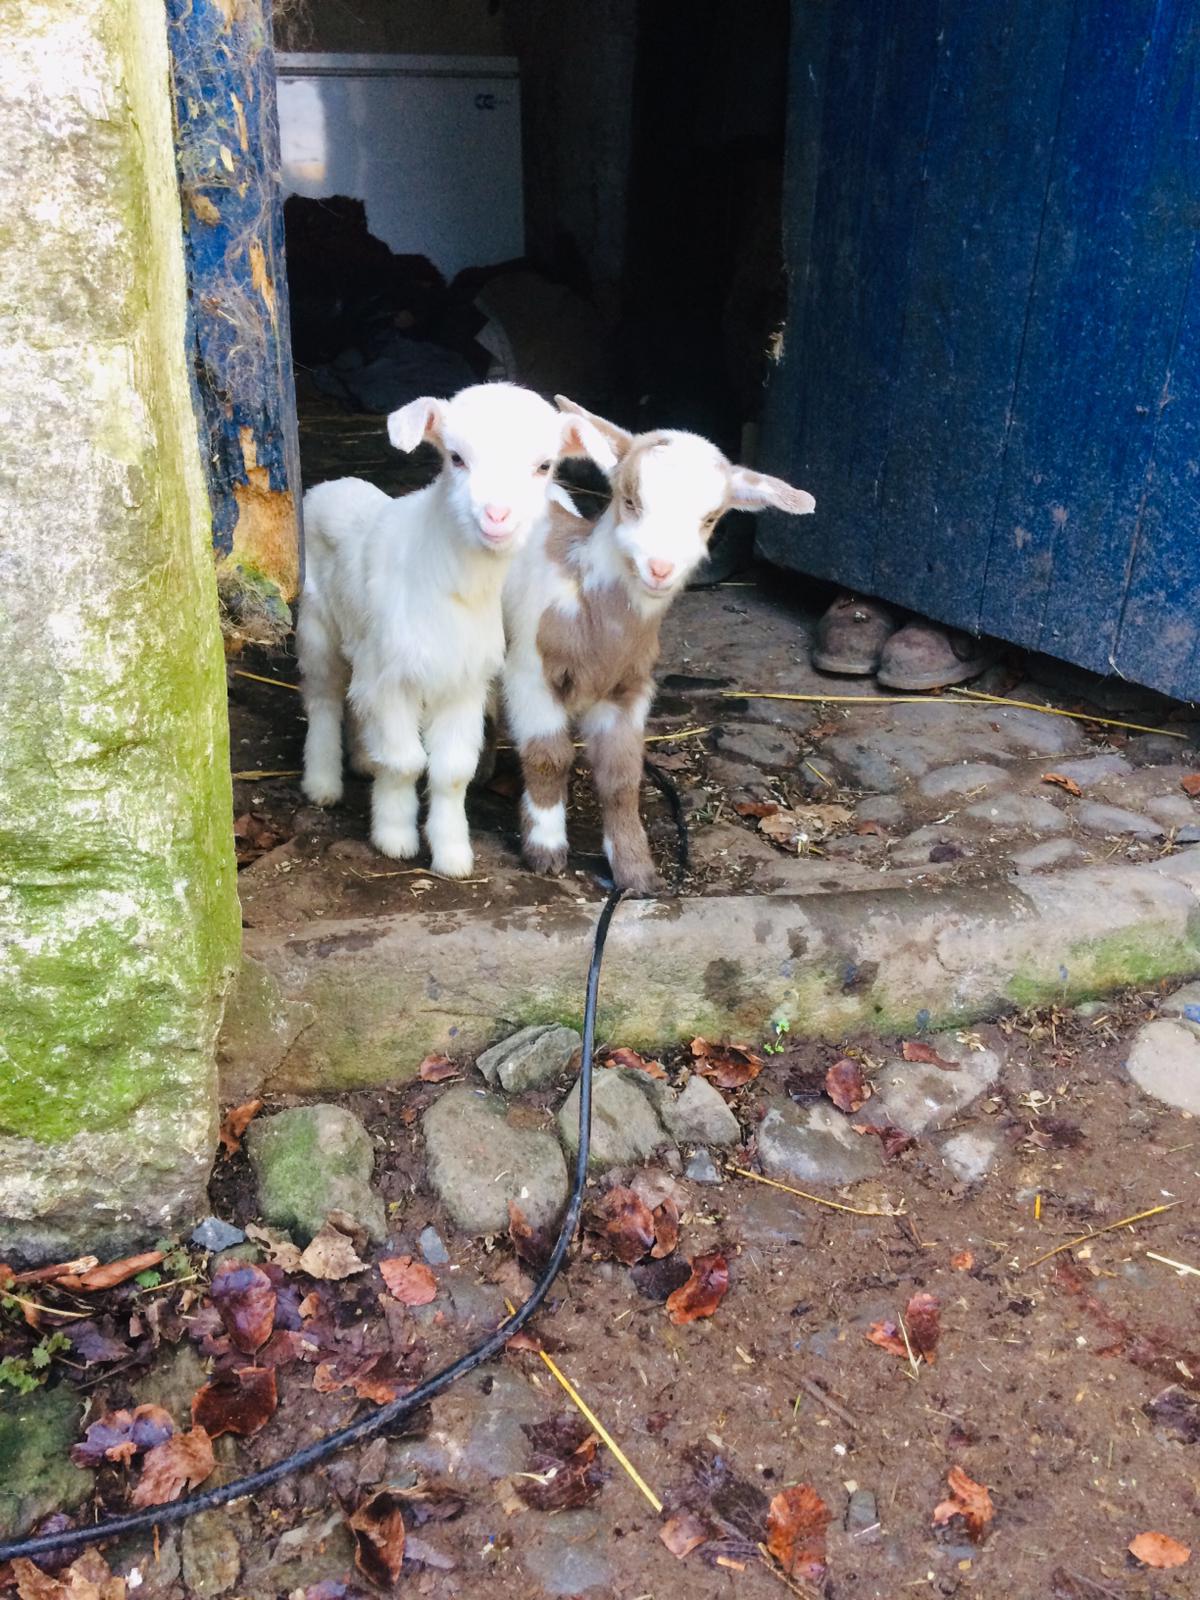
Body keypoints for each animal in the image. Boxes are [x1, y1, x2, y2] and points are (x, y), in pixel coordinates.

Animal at [297, 382, 609, 877]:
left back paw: (363, 761)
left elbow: (451, 771)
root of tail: (331, 485)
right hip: (316, 626)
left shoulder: (463, 684)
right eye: (456, 458)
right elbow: (405, 763)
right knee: (324, 699)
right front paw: (395, 837)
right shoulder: (394, 677)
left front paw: (453, 854)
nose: (497, 515)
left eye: (544, 465)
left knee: (355, 702)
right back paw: (323, 782)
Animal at [502, 398, 816, 894]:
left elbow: (622, 778)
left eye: (710, 519)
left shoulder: (628, 692)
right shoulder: (532, 673)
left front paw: (635, 870)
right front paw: (545, 849)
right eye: (630, 500)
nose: (660, 568)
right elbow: (548, 758)